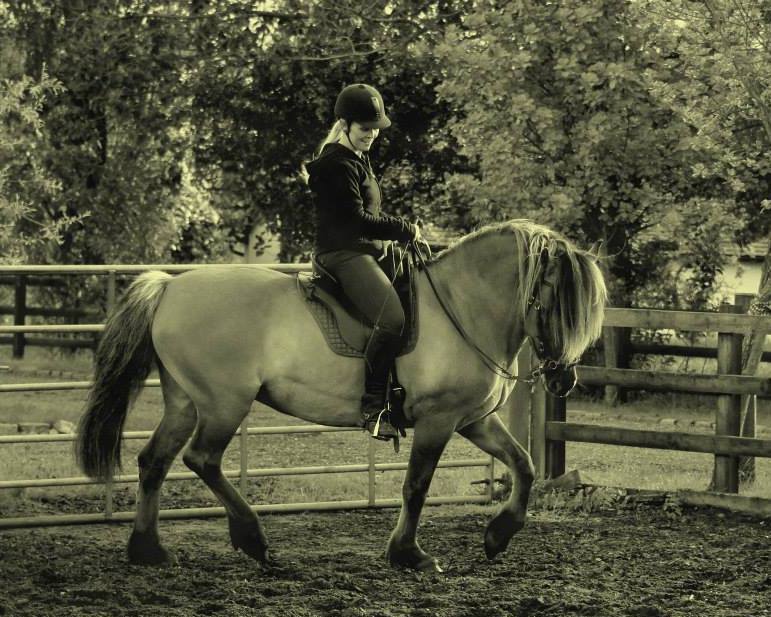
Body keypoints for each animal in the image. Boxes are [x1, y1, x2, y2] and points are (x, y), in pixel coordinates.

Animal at [75, 219, 607, 572]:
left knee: (154, 461)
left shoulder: (473, 419)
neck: (462, 307)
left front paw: (497, 536)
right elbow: (416, 485)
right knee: (201, 459)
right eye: (555, 299)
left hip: (186, 402)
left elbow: (525, 465)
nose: (563, 380)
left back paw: (148, 550)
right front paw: (408, 554)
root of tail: (170, 287)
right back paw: (253, 539)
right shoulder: (437, 420)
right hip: (224, 403)